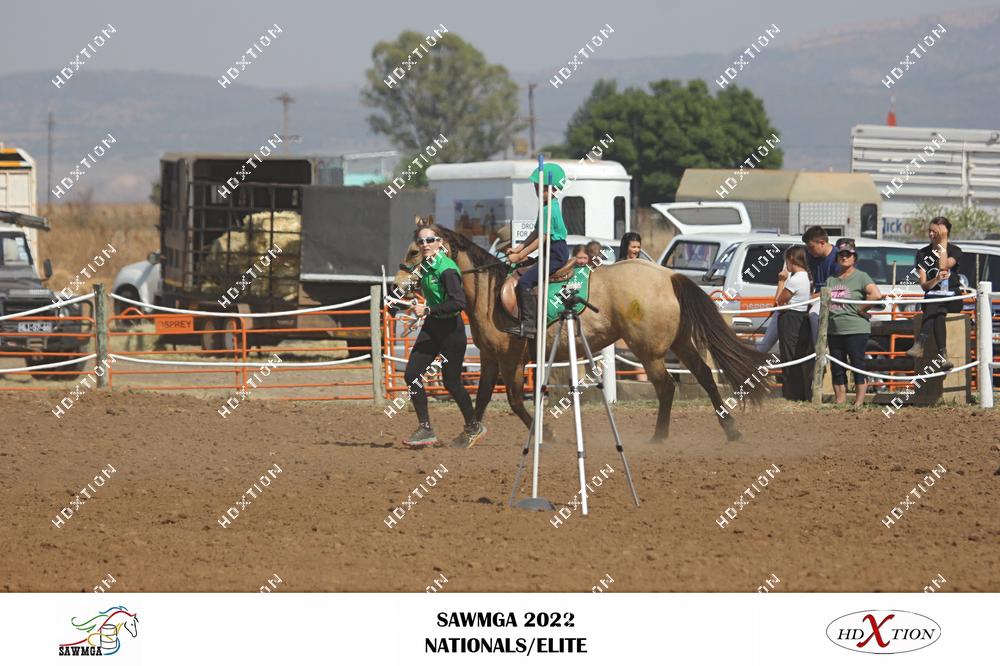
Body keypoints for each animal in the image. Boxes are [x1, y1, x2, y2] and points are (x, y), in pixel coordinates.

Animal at [392, 222, 770, 442]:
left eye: (415, 250)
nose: (396, 290)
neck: (490, 291)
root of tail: (667, 275)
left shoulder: (513, 358)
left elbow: (513, 399)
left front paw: (545, 433)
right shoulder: (489, 357)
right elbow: (483, 396)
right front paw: (468, 433)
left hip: (649, 350)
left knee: (666, 387)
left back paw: (659, 438)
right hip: (678, 343)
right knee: (705, 375)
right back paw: (731, 430)